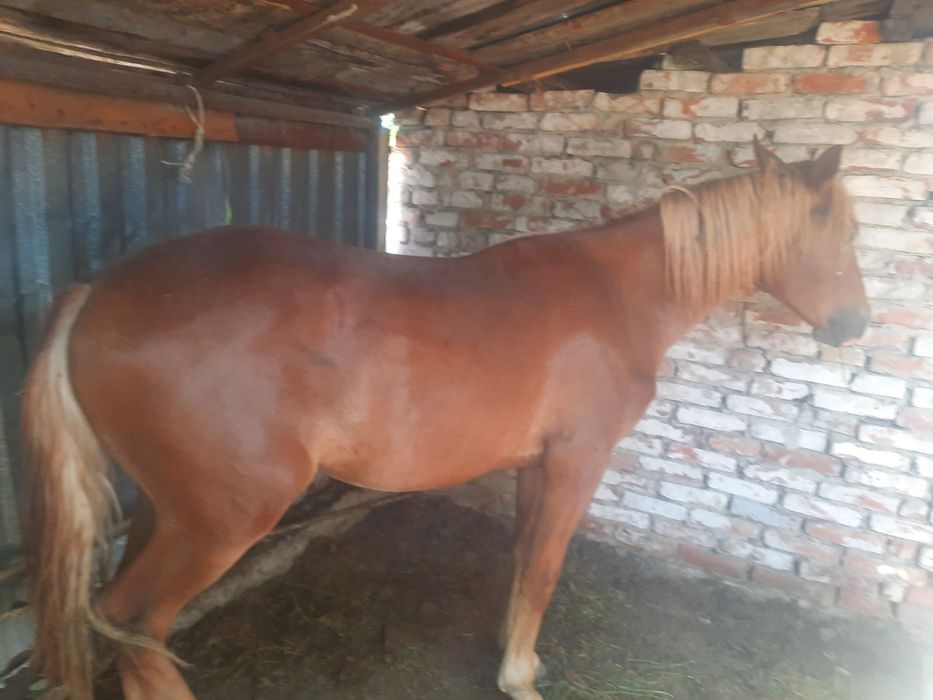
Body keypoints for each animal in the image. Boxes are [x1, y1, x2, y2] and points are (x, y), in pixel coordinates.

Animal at [22, 141, 868, 700]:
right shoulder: (578, 460)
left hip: (165, 509)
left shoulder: (535, 465)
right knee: (134, 619)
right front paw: (519, 677)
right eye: (843, 231)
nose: (855, 325)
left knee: (127, 629)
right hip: (222, 519)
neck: (616, 294)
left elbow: (524, 556)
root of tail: (96, 295)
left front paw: (511, 650)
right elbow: (546, 564)